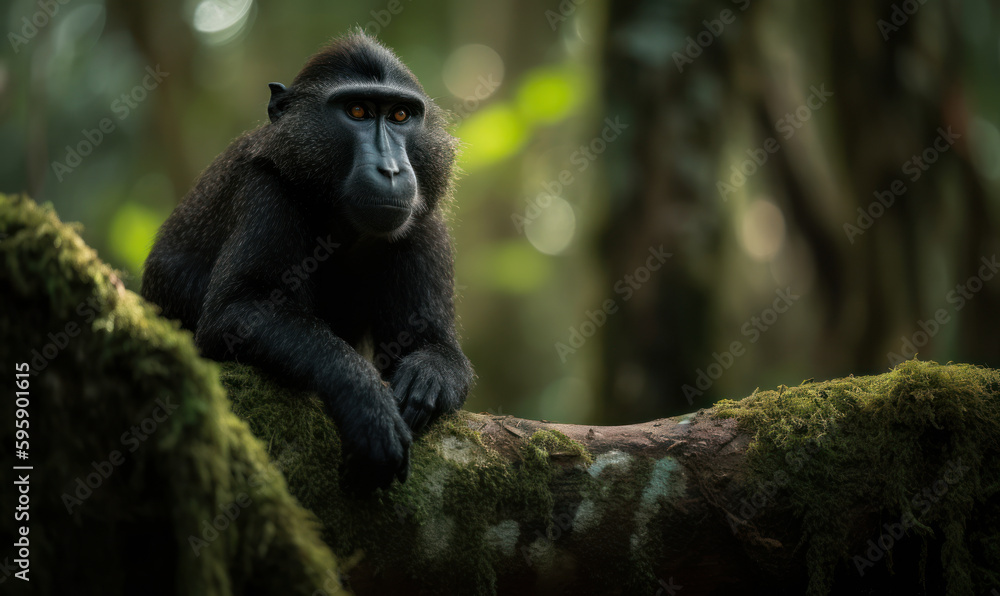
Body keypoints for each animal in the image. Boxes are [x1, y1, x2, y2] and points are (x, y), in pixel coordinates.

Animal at [141, 31, 473, 493]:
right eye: (357, 111)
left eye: (401, 115)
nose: (391, 170)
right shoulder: (266, 189)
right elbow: (235, 312)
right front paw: (364, 399)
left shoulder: (422, 218)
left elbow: (437, 348)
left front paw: (427, 377)